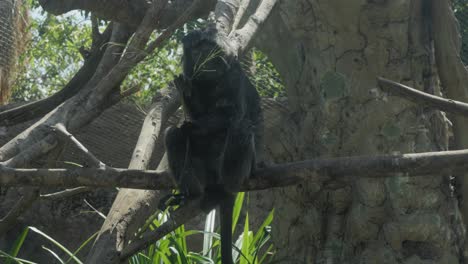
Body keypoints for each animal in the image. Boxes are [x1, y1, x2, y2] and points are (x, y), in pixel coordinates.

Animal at [164, 29, 264, 262]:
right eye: (196, 50)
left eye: (209, 49)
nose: (205, 58)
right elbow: (192, 114)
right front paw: (186, 96)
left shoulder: (234, 75)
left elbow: (232, 113)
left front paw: (191, 127)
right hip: (202, 171)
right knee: (173, 136)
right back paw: (192, 194)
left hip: (246, 168)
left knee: (240, 127)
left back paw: (225, 187)